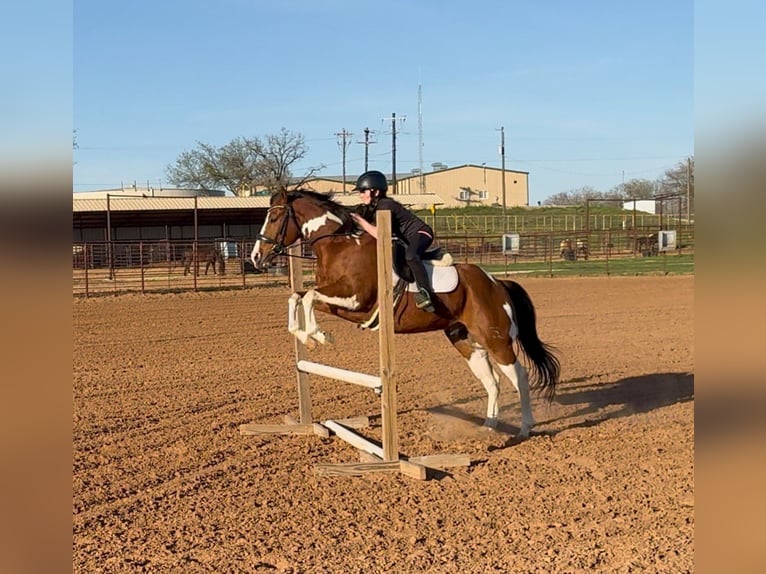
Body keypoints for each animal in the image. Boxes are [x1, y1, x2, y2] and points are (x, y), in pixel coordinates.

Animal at [250, 189, 560, 437]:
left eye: (275, 218)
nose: (256, 257)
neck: (340, 245)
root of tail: (497, 283)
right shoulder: (340, 302)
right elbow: (298, 297)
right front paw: (308, 336)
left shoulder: (357, 300)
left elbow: (309, 296)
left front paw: (318, 336)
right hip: (465, 340)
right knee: (492, 381)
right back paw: (489, 426)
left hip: (496, 339)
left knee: (519, 376)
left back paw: (525, 428)